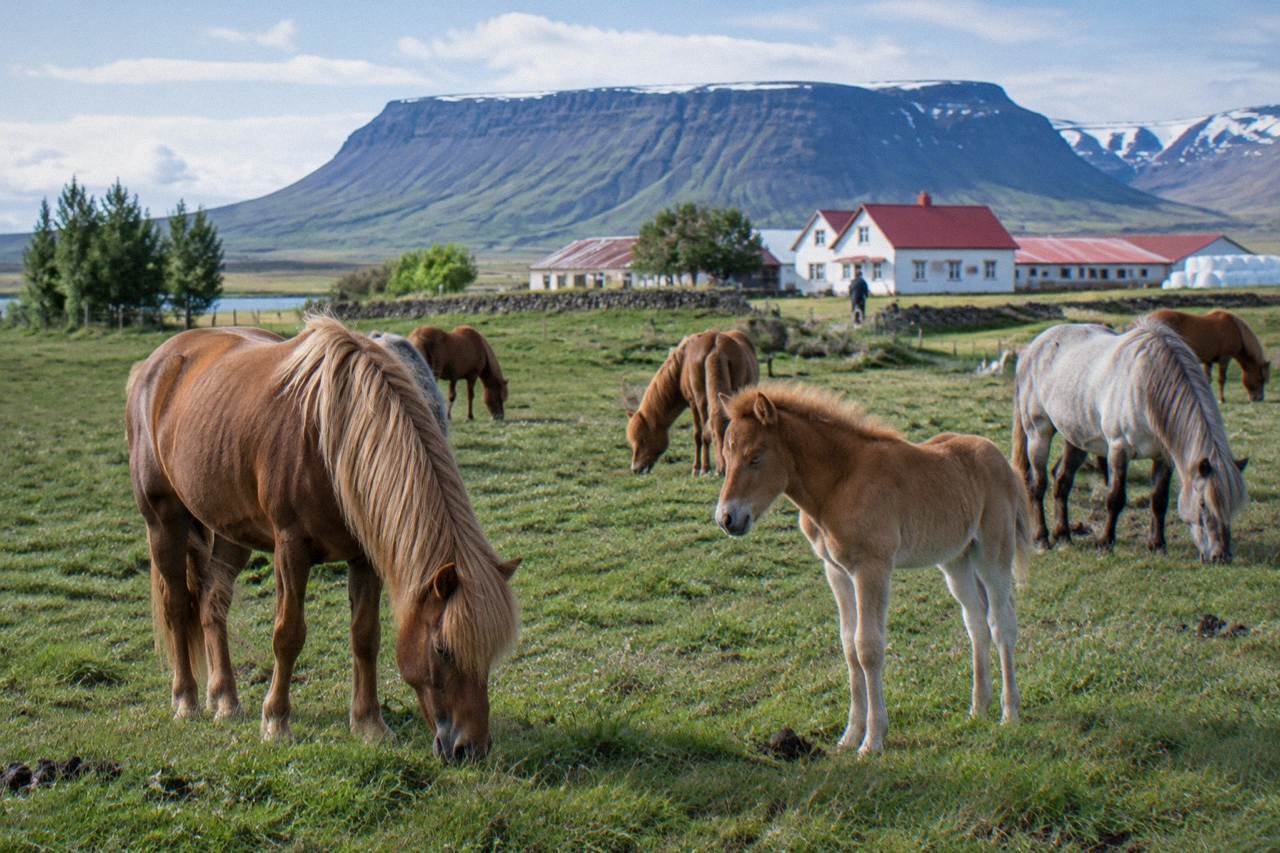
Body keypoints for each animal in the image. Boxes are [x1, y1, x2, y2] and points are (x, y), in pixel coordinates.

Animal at [126, 318, 519, 761]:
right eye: (443, 650)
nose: (471, 748)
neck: (332, 439)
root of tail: (153, 366)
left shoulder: (365, 557)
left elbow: (365, 637)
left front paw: (369, 724)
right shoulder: (291, 549)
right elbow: (288, 635)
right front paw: (276, 722)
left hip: (231, 532)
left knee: (212, 604)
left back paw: (225, 699)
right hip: (164, 520)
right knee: (178, 607)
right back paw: (186, 700)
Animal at [627, 329, 758, 475]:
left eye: (642, 439)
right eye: (714, 435)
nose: (635, 469)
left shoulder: (695, 402)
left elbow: (699, 435)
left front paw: (702, 468)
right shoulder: (700, 403)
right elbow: (701, 434)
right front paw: (701, 468)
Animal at [715, 384, 1031, 755]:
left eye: (756, 457)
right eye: (725, 454)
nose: (727, 518)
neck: (840, 482)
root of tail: (1002, 461)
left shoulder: (872, 568)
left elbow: (868, 647)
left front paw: (873, 740)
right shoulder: (836, 572)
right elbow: (849, 646)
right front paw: (850, 735)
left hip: (993, 554)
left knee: (1001, 623)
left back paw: (1009, 714)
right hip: (956, 560)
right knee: (976, 623)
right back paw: (978, 710)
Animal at [1013, 316, 1248, 562]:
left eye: (1232, 506)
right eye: (1203, 503)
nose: (1221, 556)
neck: (1147, 386)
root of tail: (1030, 349)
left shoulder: (1163, 456)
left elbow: (1159, 499)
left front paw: (1157, 544)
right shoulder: (1118, 448)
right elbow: (1115, 498)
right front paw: (1105, 543)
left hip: (1075, 437)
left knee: (1062, 480)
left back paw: (1064, 536)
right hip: (1038, 433)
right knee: (1038, 485)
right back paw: (1042, 539)